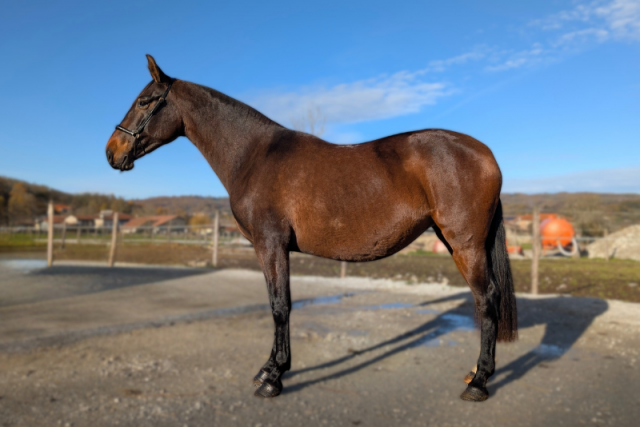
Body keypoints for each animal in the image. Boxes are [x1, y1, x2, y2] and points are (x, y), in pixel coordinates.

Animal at [106, 55, 518, 402]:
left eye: (145, 101)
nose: (112, 151)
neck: (254, 155)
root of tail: (485, 154)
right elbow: (278, 304)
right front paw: (268, 369)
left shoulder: (270, 244)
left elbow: (280, 306)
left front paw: (274, 378)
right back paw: (475, 374)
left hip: (465, 245)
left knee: (486, 300)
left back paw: (479, 383)